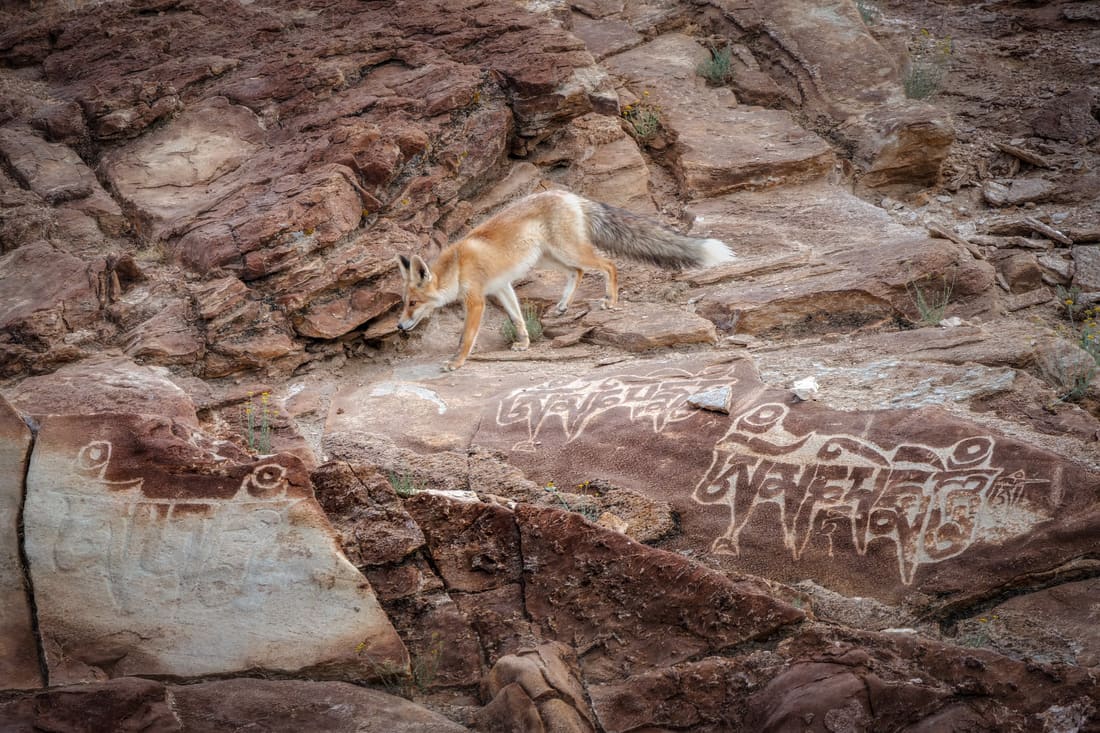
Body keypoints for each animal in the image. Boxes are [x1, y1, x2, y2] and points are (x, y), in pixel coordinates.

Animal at [395, 189, 734, 371]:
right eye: (404, 303)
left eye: (413, 303)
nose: (398, 326)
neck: (457, 267)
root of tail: (571, 195)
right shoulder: (502, 287)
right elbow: (518, 319)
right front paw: (525, 343)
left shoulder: (477, 299)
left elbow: (466, 337)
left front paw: (456, 362)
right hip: (551, 257)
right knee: (579, 272)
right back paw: (562, 306)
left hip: (567, 250)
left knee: (608, 264)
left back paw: (610, 300)